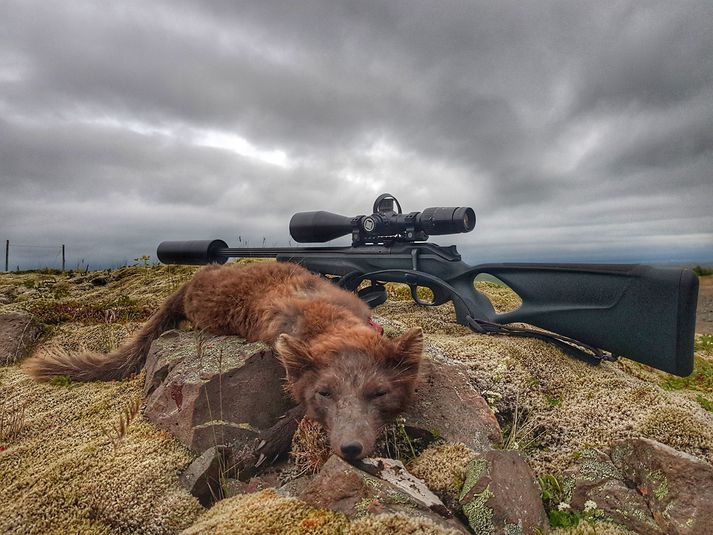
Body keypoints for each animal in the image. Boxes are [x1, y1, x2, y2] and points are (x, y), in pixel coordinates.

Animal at [25, 262, 420, 460]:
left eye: (379, 393)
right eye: (324, 393)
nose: (351, 448)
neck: (326, 316)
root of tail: (190, 280)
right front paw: (265, 445)